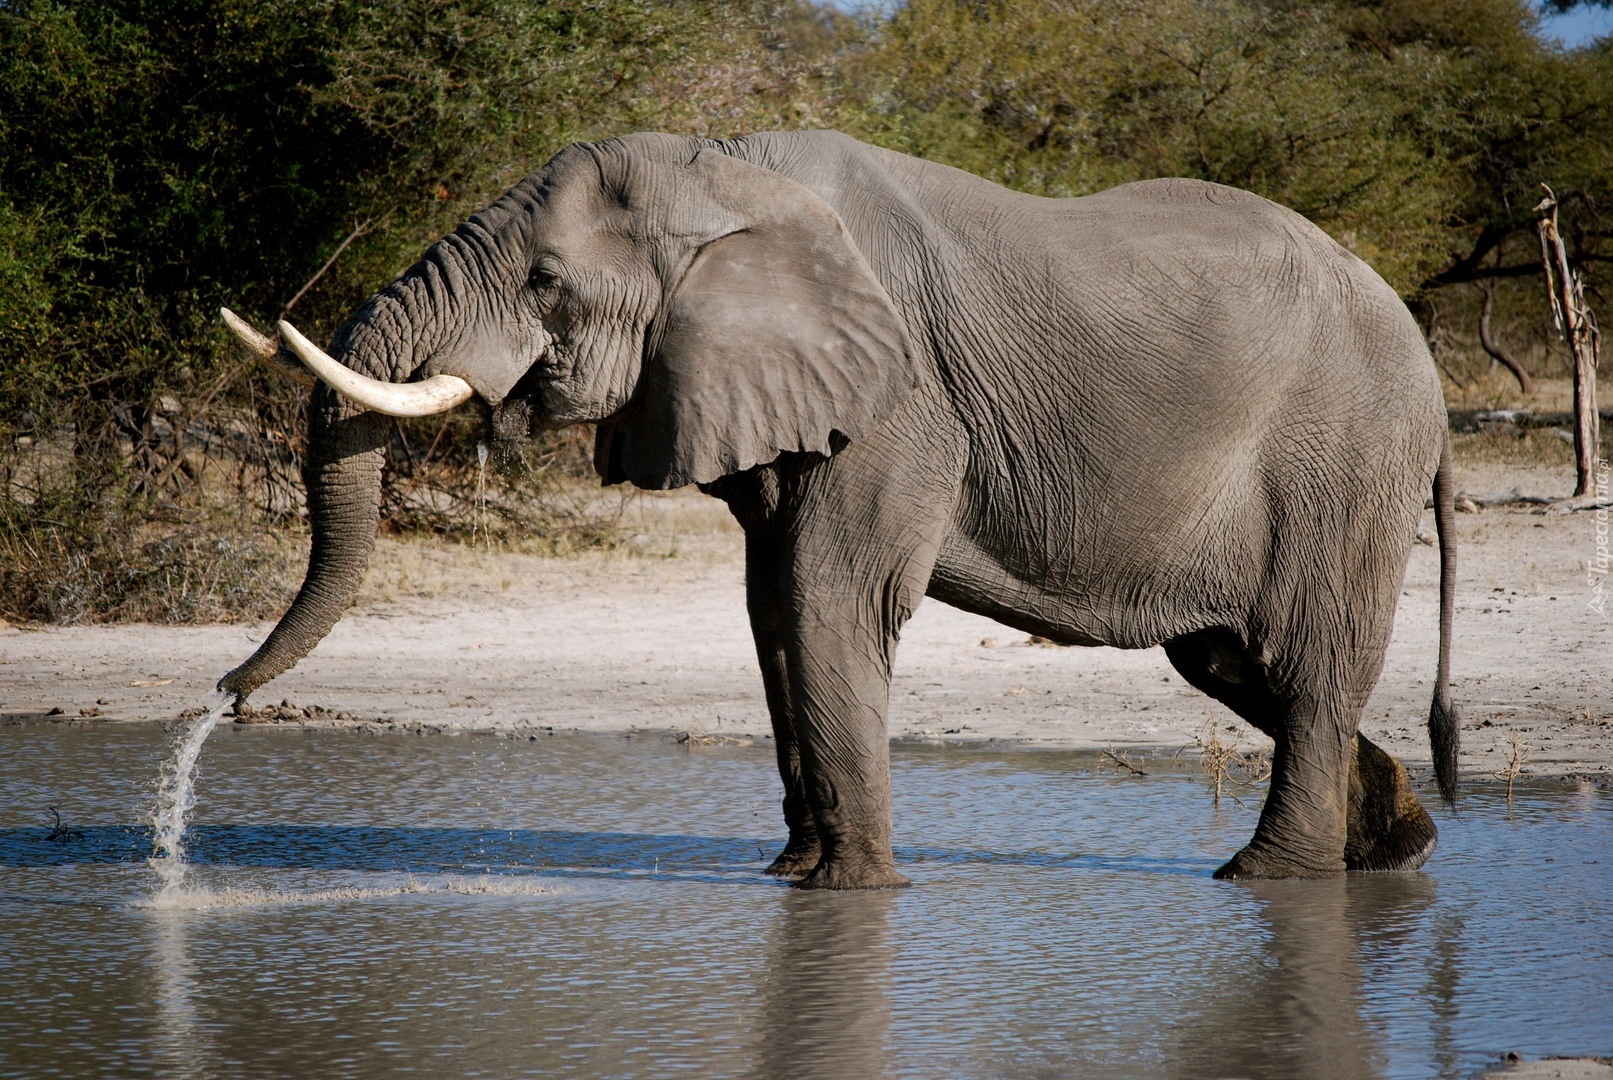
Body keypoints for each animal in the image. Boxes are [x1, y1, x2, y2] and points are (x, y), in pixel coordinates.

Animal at [217, 128, 1464, 889]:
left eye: (544, 282)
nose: (224, 696)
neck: (724, 170)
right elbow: (772, 606)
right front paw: (791, 882)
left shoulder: (899, 398)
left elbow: (829, 600)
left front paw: (852, 891)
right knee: (1231, 663)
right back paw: (1392, 847)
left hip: (1345, 457)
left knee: (1303, 662)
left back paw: (1266, 878)